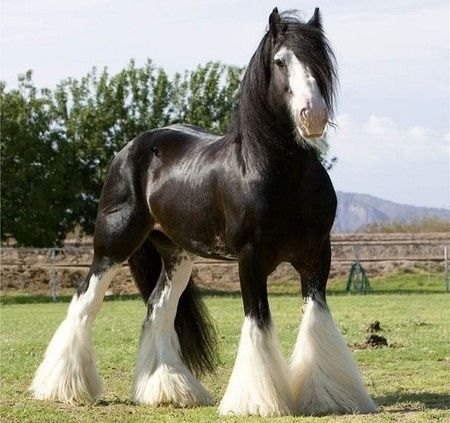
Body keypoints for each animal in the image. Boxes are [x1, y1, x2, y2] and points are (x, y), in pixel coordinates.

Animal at [29, 6, 378, 418]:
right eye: (280, 61)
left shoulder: (316, 254)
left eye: (320, 60)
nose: (313, 116)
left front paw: (331, 397)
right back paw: (61, 387)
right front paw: (256, 401)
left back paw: (169, 390)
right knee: (86, 301)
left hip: (177, 254)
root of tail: (132, 147)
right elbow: (258, 321)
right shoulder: (250, 257)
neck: (274, 172)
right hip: (113, 245)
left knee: (158, 310)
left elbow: (316, 319)